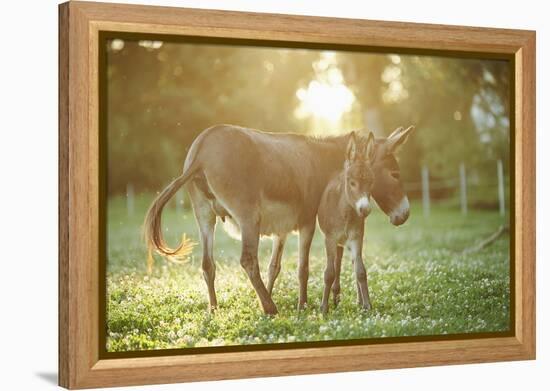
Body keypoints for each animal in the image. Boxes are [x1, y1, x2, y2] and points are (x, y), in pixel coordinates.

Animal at [316, 132, 378, 316]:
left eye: (371, 182)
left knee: (351, 263)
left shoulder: (357, 237)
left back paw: (358, 300)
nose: (365, 209)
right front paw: (324, 308)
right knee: (336, 264)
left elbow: (361, 271)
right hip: (336, 241)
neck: (345, 212)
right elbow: (329, 273)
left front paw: (367, 305)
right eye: (352, 182)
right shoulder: (329, 239)